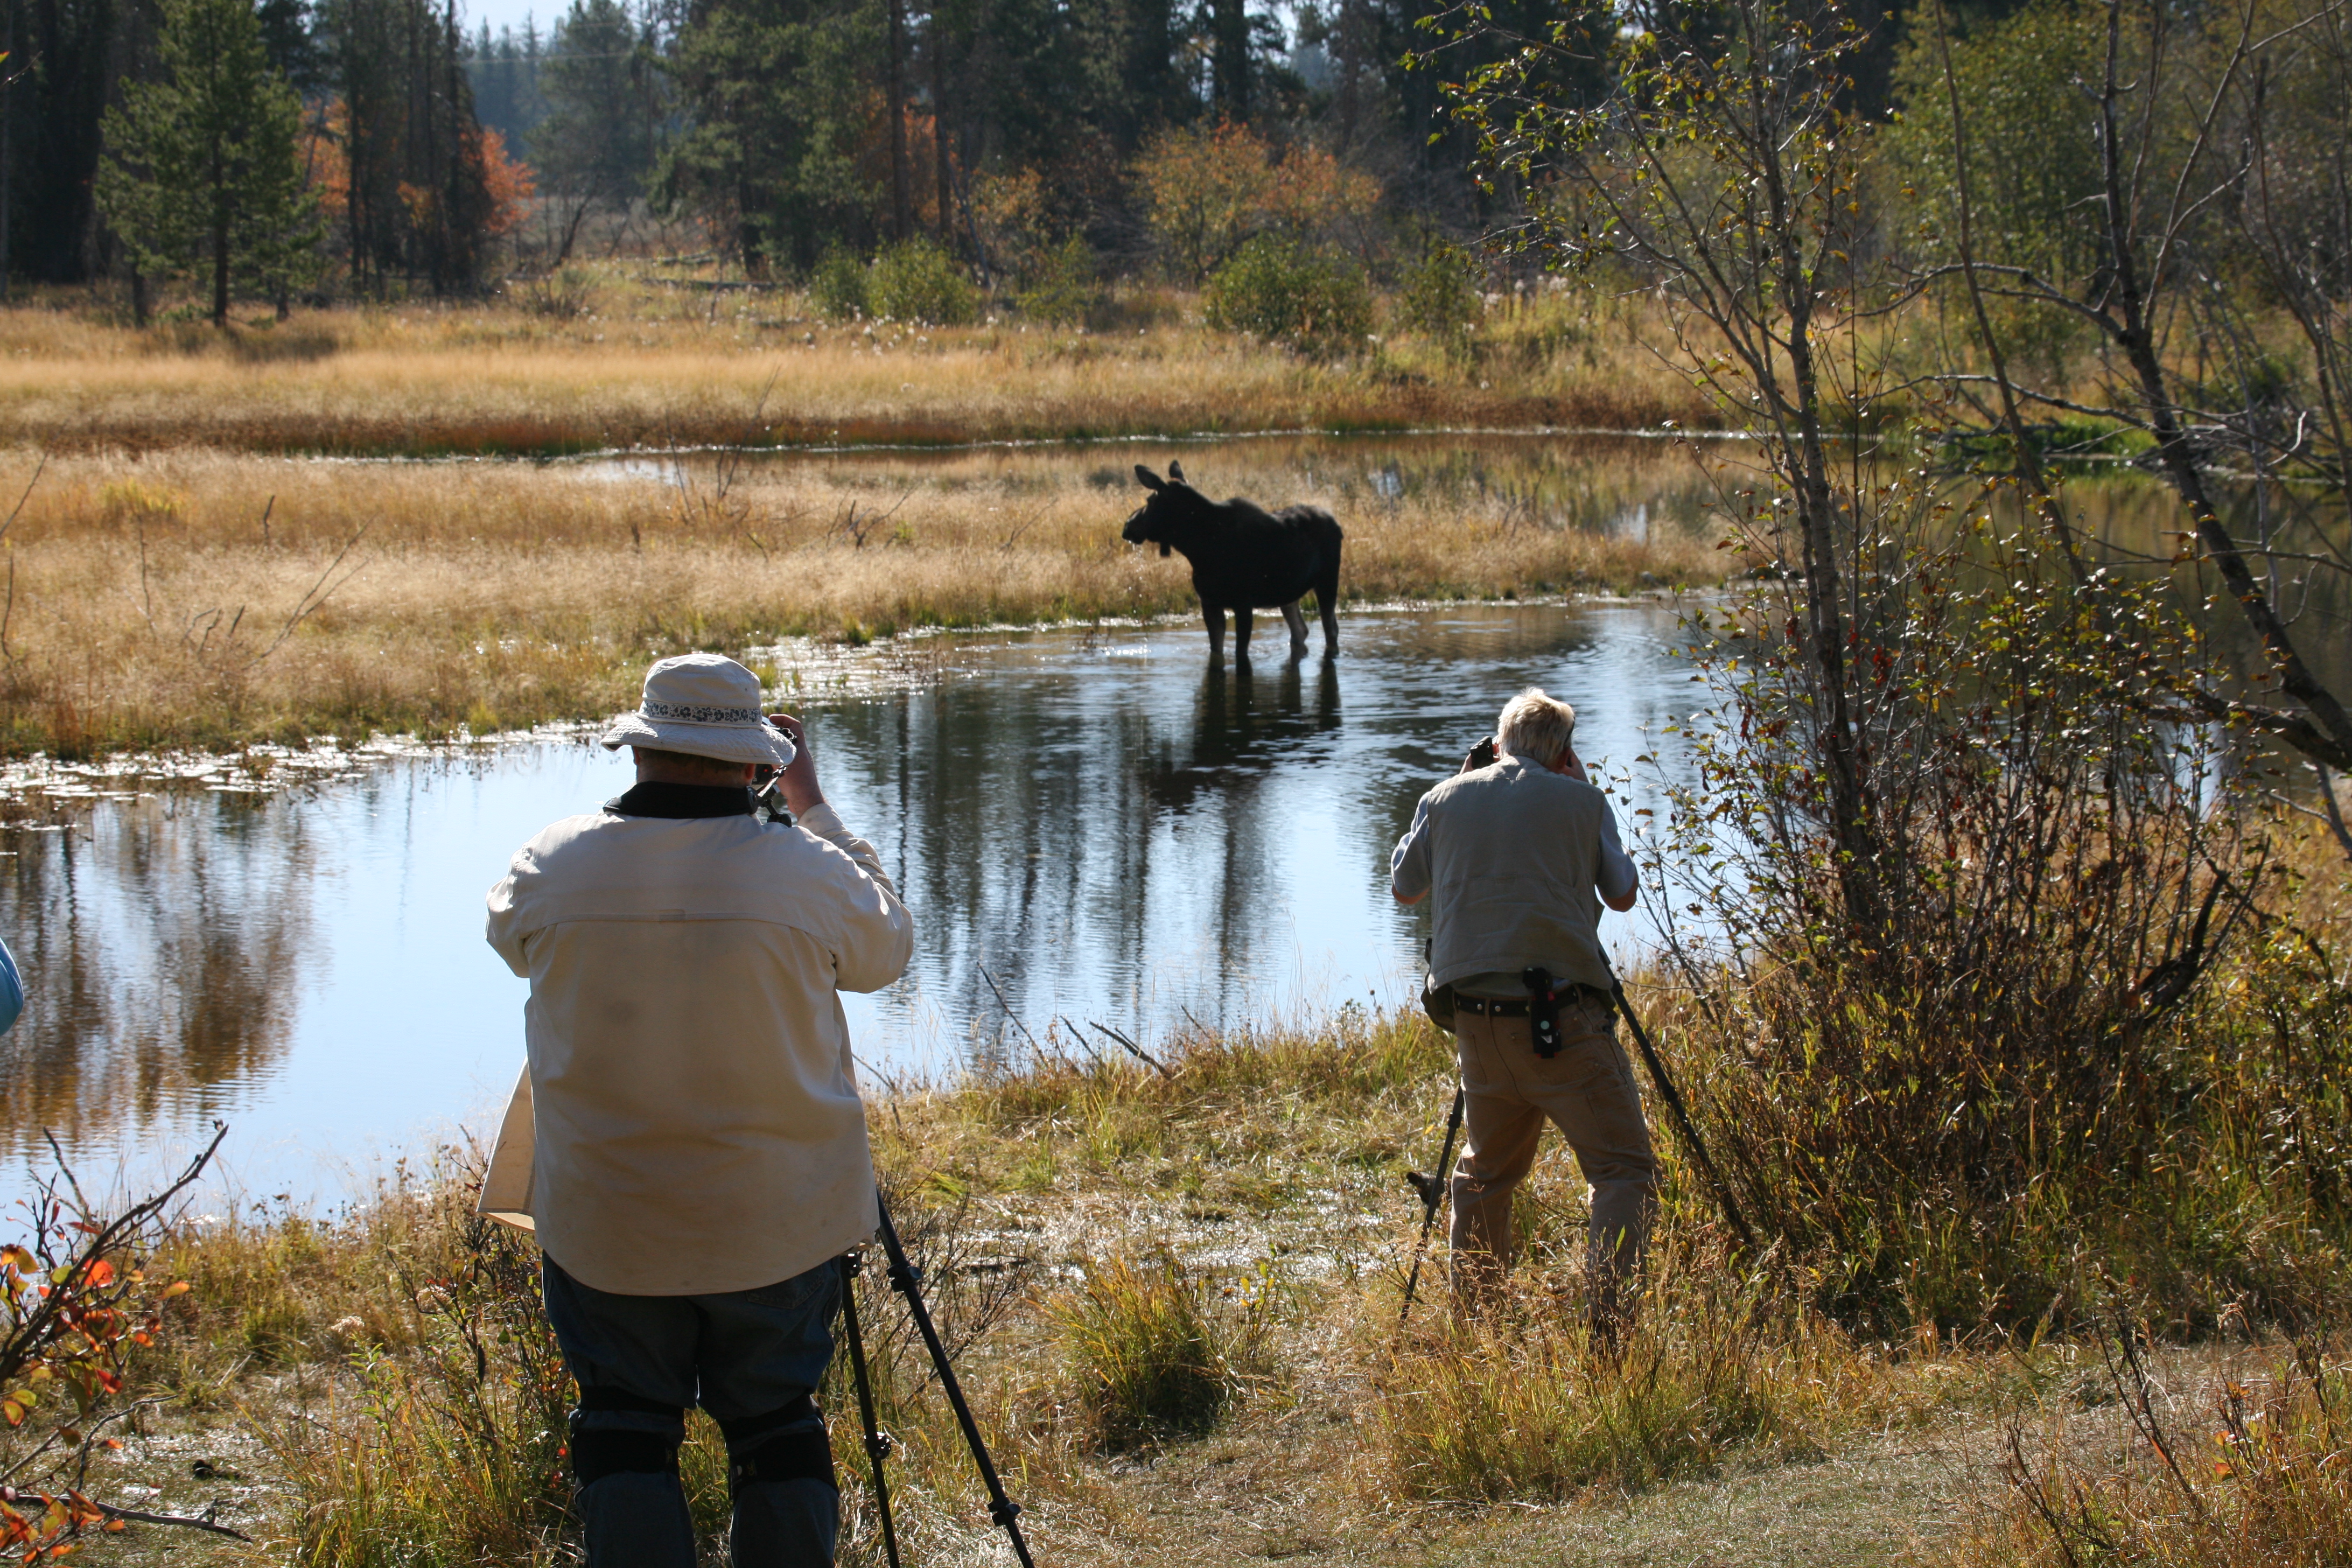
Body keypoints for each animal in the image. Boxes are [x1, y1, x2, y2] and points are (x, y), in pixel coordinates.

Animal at [1119, 463, 1345, 667]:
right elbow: (1216, 651)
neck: (1197, 549)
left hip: (1328, 580)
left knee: (1331, 629)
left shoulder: (1243, 603)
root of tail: (1338, 525)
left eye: (1150, 500)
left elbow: (1239, 653)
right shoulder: (1209, 603)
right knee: (1300, 630)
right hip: (1287, 593)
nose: (1128, 526)